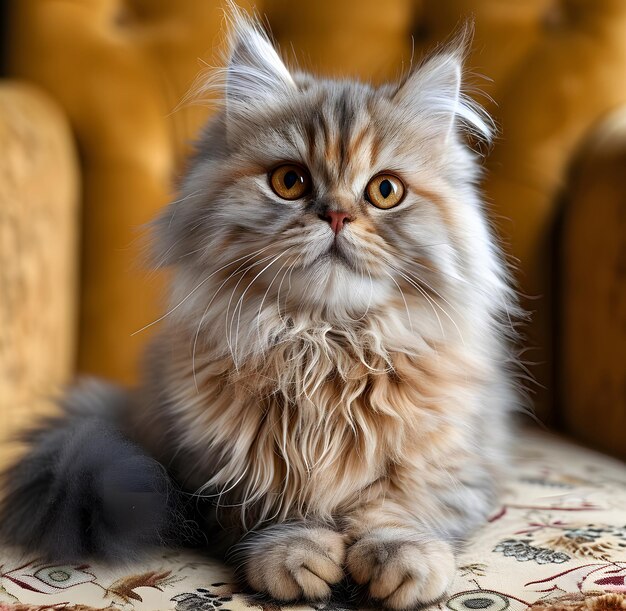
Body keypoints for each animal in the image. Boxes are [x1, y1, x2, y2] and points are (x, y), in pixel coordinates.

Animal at [0, 5, 516, 611]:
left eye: (385, 191)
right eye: (290, 181)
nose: (337, 215)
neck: (324, 346)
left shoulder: (458, 461)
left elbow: (404, 508)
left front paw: (402, 559)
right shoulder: (217, 472)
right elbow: (270, 512)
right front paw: (295, 553)